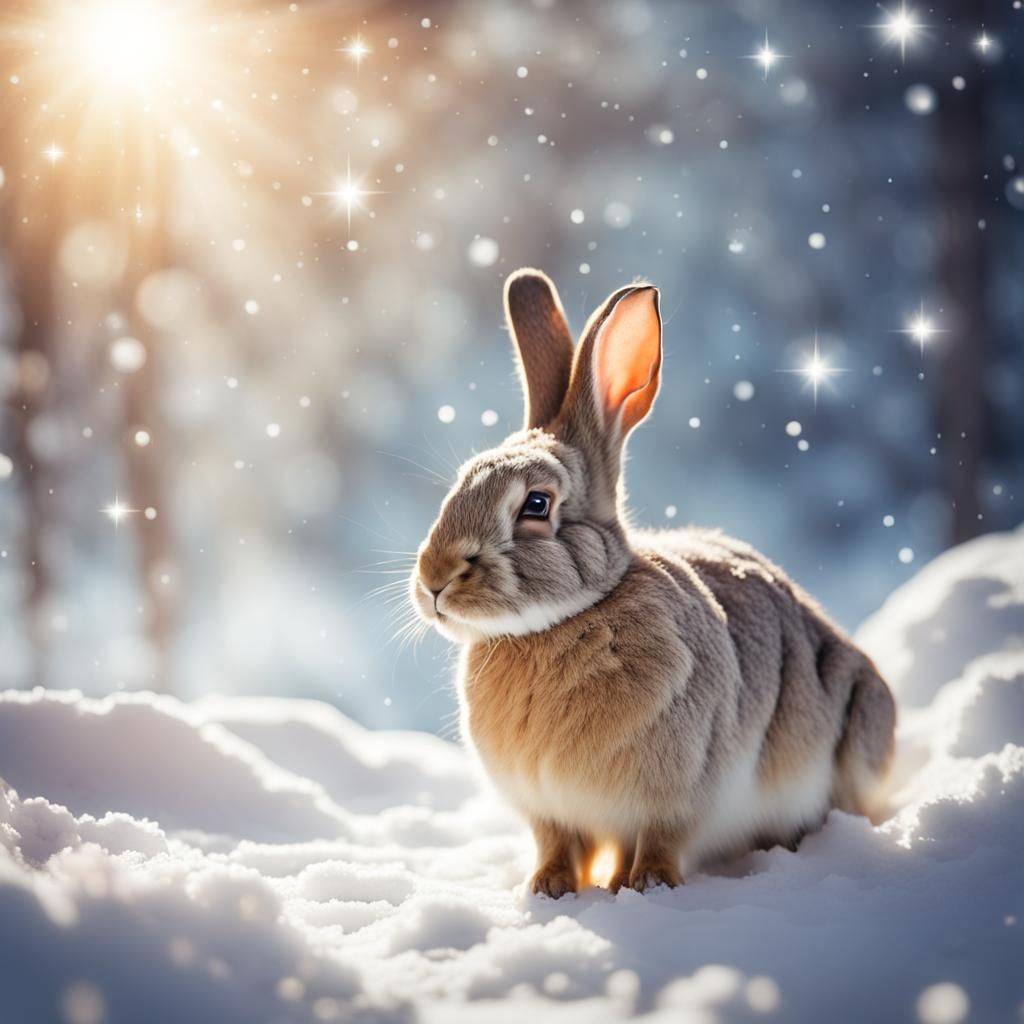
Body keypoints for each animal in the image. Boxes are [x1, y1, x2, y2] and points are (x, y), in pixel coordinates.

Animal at [409, 268, 896, 897]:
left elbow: (660, 840)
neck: (561, 621)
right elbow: (556, 845)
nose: (433, 581)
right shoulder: (549, 811)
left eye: (536, 505)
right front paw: (547, 888)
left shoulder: (679, 790)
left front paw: (647, 886)